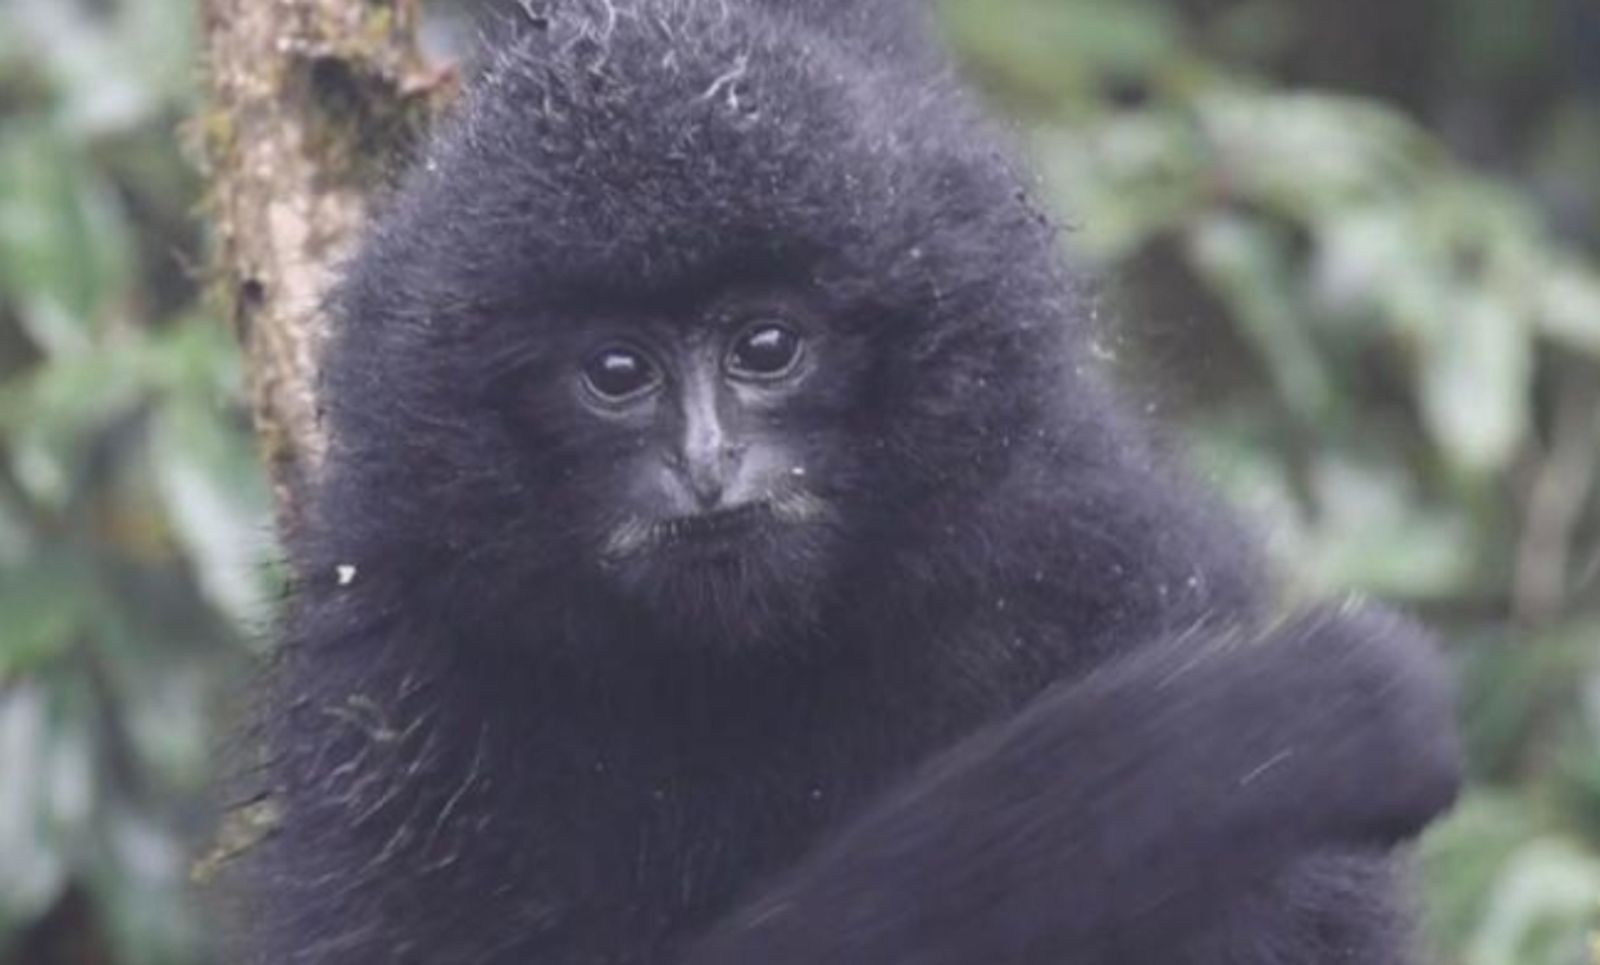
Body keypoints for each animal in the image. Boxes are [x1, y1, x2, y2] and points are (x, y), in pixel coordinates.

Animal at [247, 0, 1462, 962]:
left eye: (765, 347)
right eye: (618, 373)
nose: (706, 462)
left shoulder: (1093, 554)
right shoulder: (401, 678)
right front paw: (1276, 726)